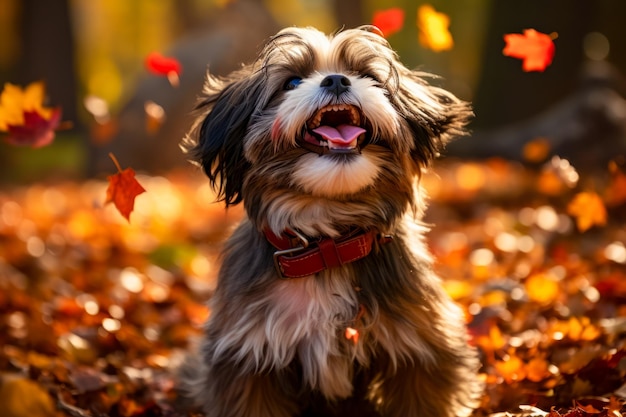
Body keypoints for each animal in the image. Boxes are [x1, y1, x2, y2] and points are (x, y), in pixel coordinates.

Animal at [178, 25, 480, 416]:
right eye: (291, 82)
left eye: (367, 76)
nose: (336, 79)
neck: (327, 247)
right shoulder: (248, 359)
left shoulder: (421, 350)